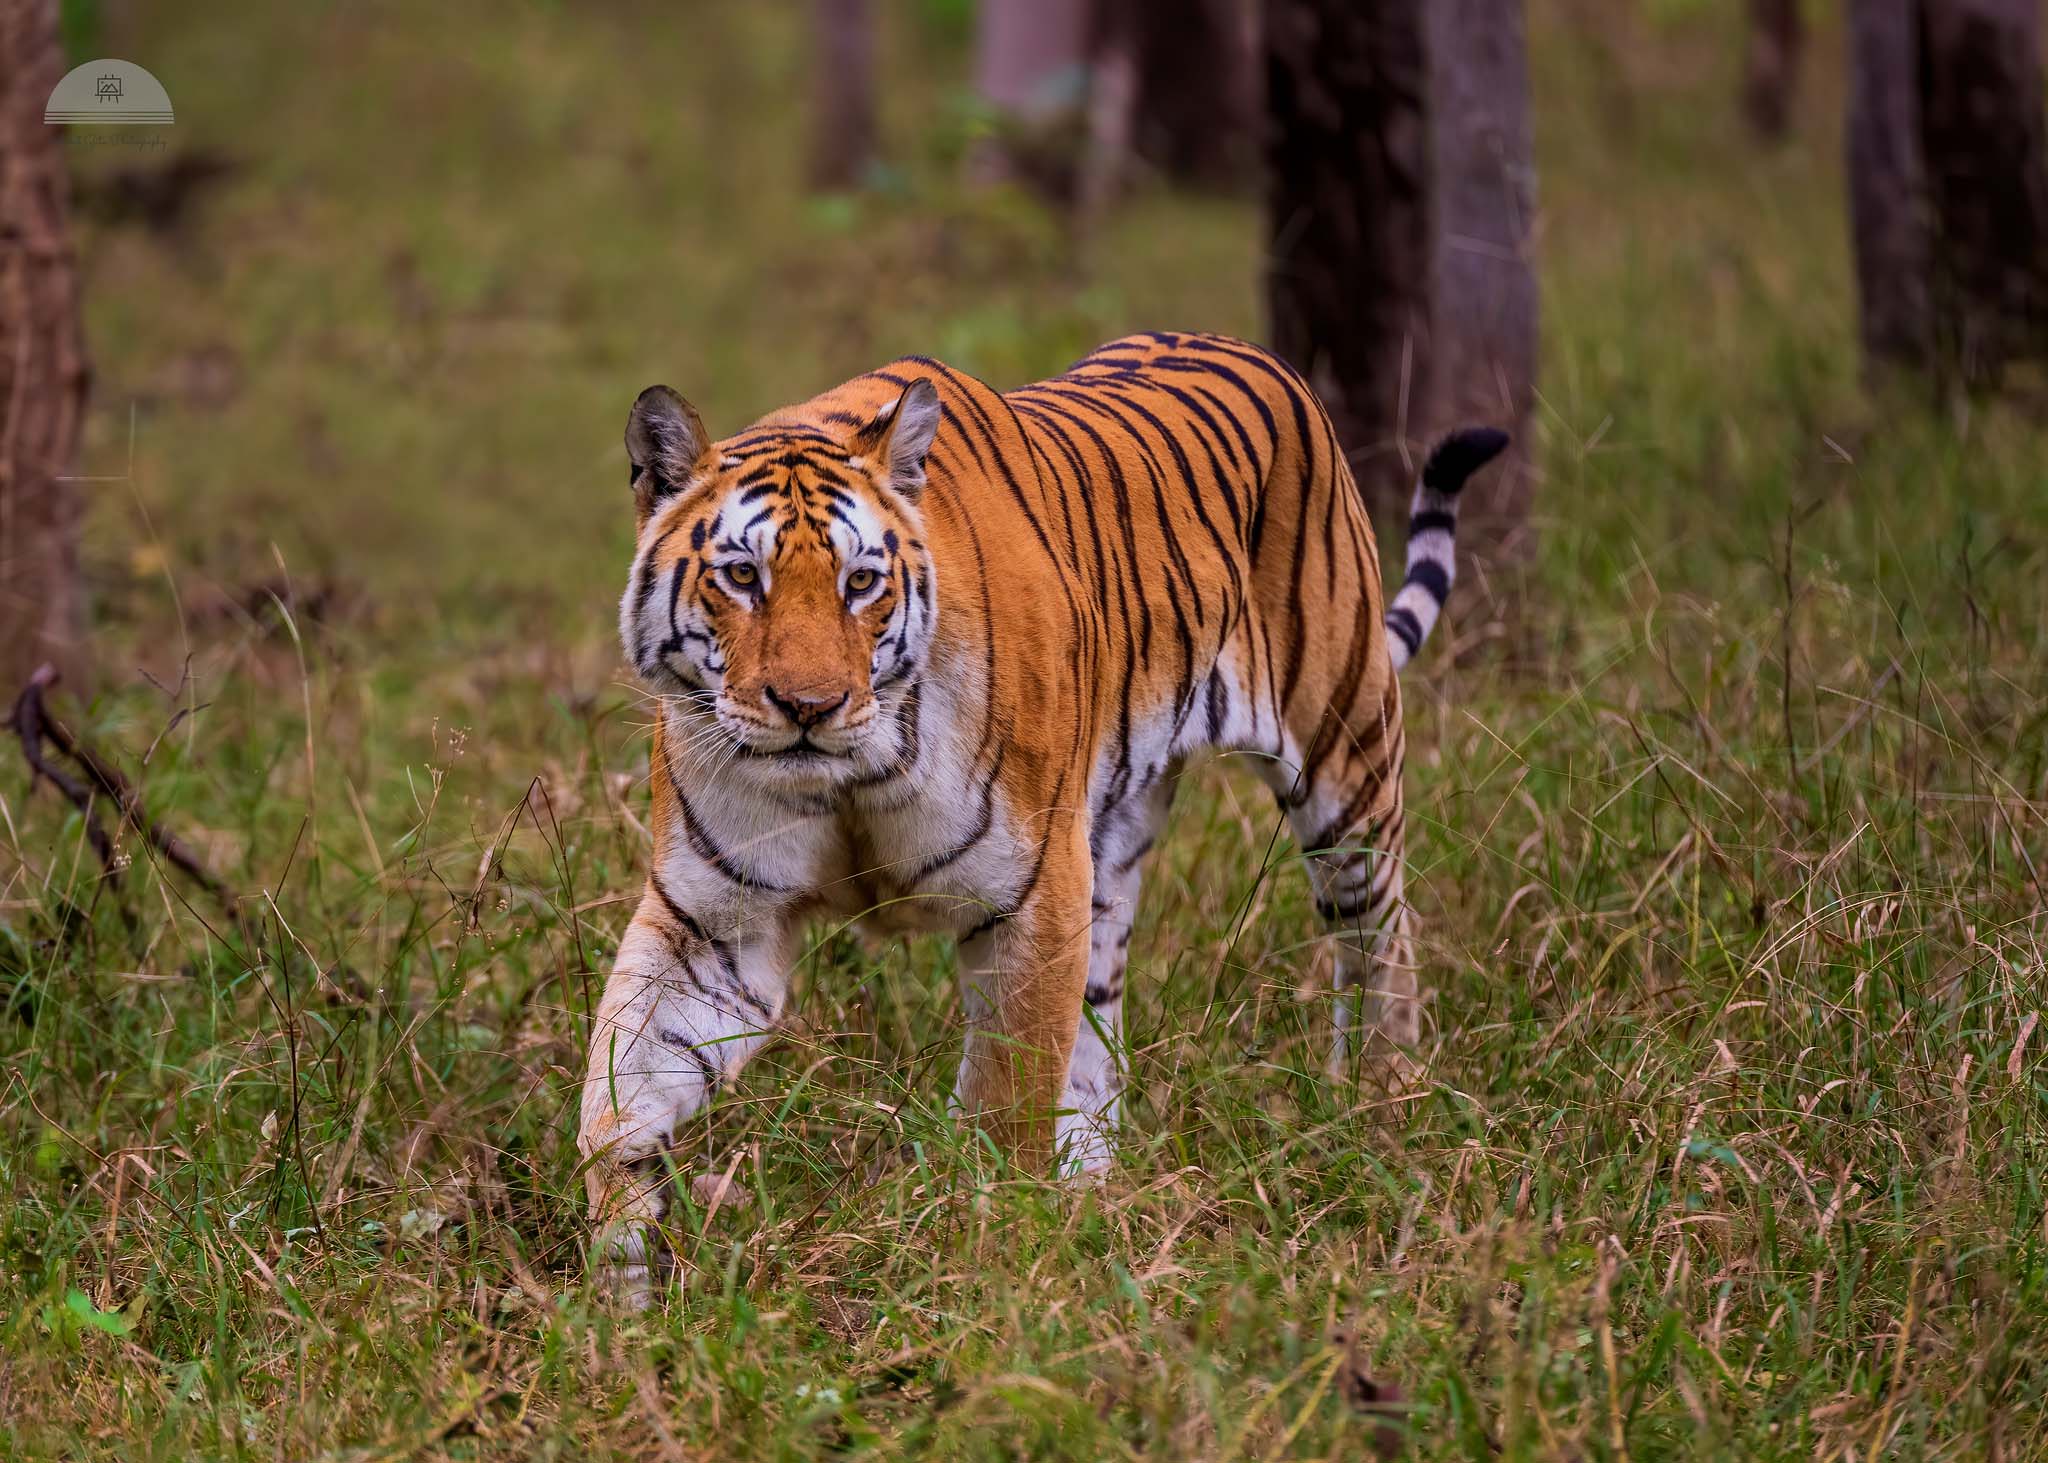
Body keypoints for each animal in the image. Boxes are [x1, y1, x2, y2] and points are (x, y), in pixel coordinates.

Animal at [577, 329, 1507, 1303]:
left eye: (861, 581)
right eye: (742, 576)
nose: (810, 707)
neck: (850, 773)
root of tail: (1253, 352)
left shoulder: (1030, 892)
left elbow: (1005, 1101)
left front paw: (987, 1259)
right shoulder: (720, 920)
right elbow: (618, 1088)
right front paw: (624, 1273)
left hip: (1344, 751)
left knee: (1378, 935)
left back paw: (1379, 1104)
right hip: (1110, 849)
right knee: (1103, 1021)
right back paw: (1095, 1175)